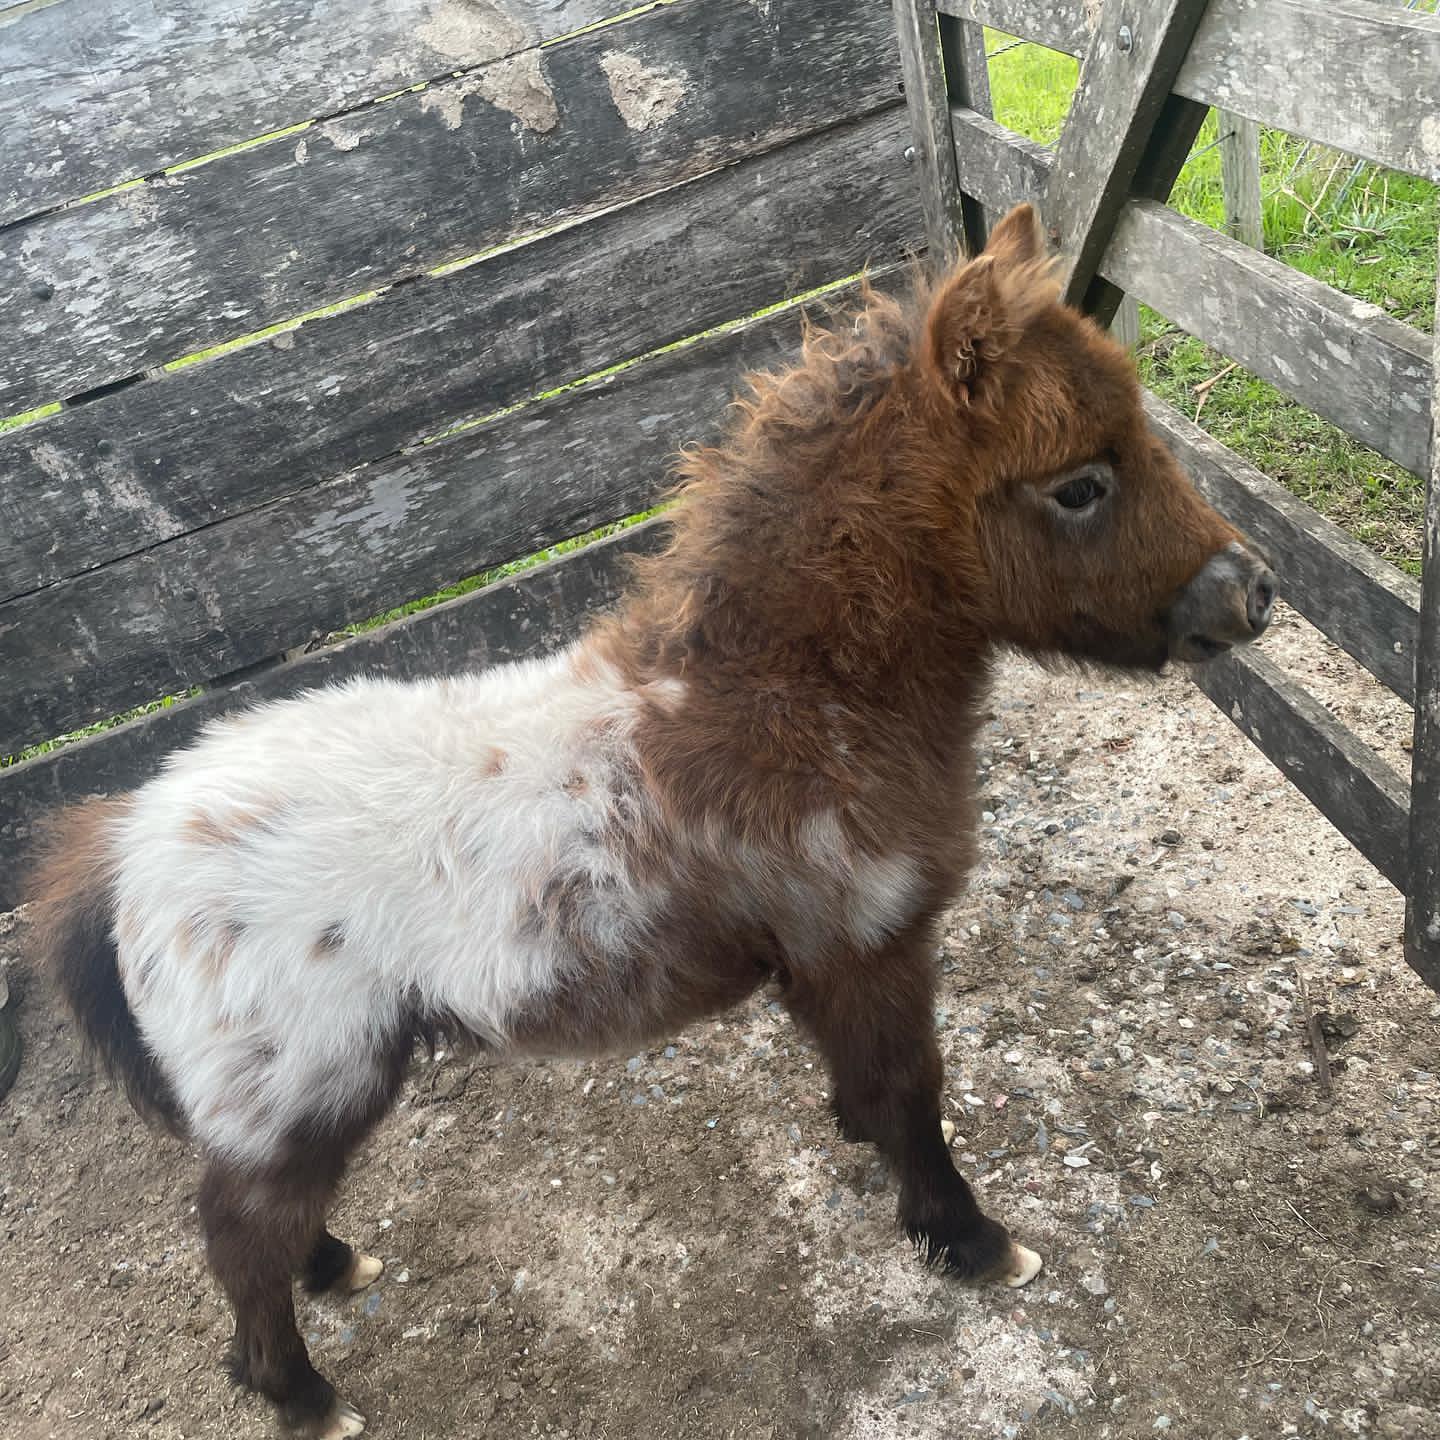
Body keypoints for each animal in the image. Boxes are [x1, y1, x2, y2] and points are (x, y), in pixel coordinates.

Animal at [29, 204, 1276, 1438]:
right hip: (301, 1081)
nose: (1253, 591)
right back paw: (300, 1394)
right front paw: (967, 1240)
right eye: (1079, 484)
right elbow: (909, 1093)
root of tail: (128, 842)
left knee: (268, 1218)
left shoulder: (823, 962)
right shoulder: (866, 944)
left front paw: (870, 1154)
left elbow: (866, 1088)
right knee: (240, 1234)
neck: (787, 704)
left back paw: (334, 1270)